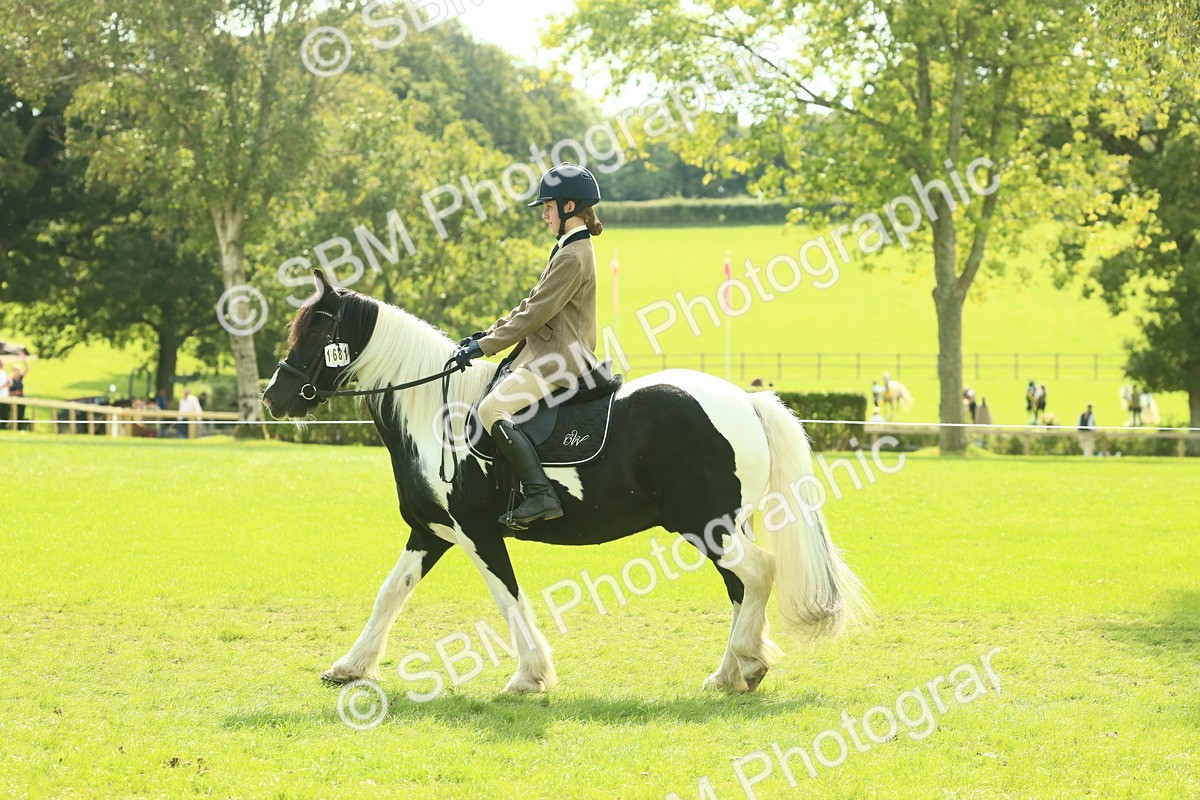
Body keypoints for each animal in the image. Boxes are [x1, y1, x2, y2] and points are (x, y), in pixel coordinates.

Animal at [262, 271, 866, 696]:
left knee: (758, 574)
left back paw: (747, 665)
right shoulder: (431, 531)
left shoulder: (477, 531)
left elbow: (507, 596)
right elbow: (391, 593)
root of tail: (744, 399)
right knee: (742, 588)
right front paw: (349, 667)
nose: (273, 397)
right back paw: (731, 672)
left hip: (706, 525)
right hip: (721, 526)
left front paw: (529, 676)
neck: (436, 413)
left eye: (317, 330)